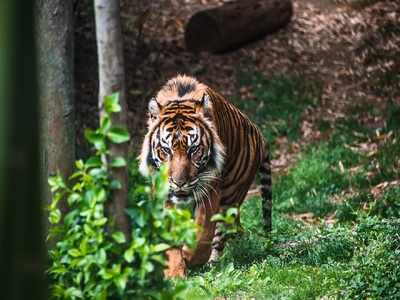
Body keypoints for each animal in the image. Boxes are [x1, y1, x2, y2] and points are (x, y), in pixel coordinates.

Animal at [138, 74, 272, 276]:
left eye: (193, 150)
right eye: (166, 150)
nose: (179, 183)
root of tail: (259, 134)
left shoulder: (210, 188)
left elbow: (203, 233)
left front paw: (190, 258)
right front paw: (174, 273)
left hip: (231, 197)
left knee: (221, 233)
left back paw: (212, 263)